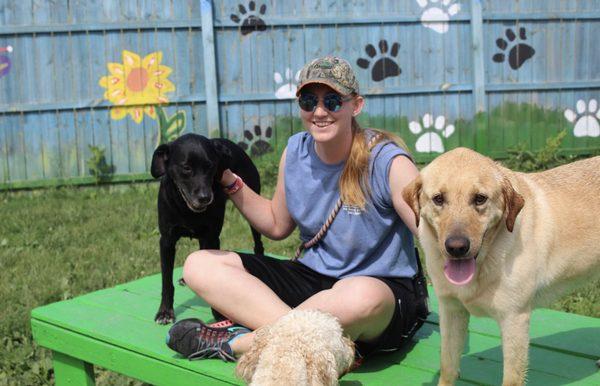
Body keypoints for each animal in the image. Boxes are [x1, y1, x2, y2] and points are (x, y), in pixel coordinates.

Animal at [150, 134, 262, 324]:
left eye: (210, 166)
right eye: (186, 168)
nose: (205, 197)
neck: (186, 209)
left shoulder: (212, 237)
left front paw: (219, 314)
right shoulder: (166, 241)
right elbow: (166, 281)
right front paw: (165, 311)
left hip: (252, 211)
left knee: (258, 244)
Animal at [404, 148, 600, 386]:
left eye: (480, 199)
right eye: (438, 199)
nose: (457, 247)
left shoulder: (514, 320)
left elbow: (511, 378)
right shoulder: (451, 311)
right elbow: (448, 366)